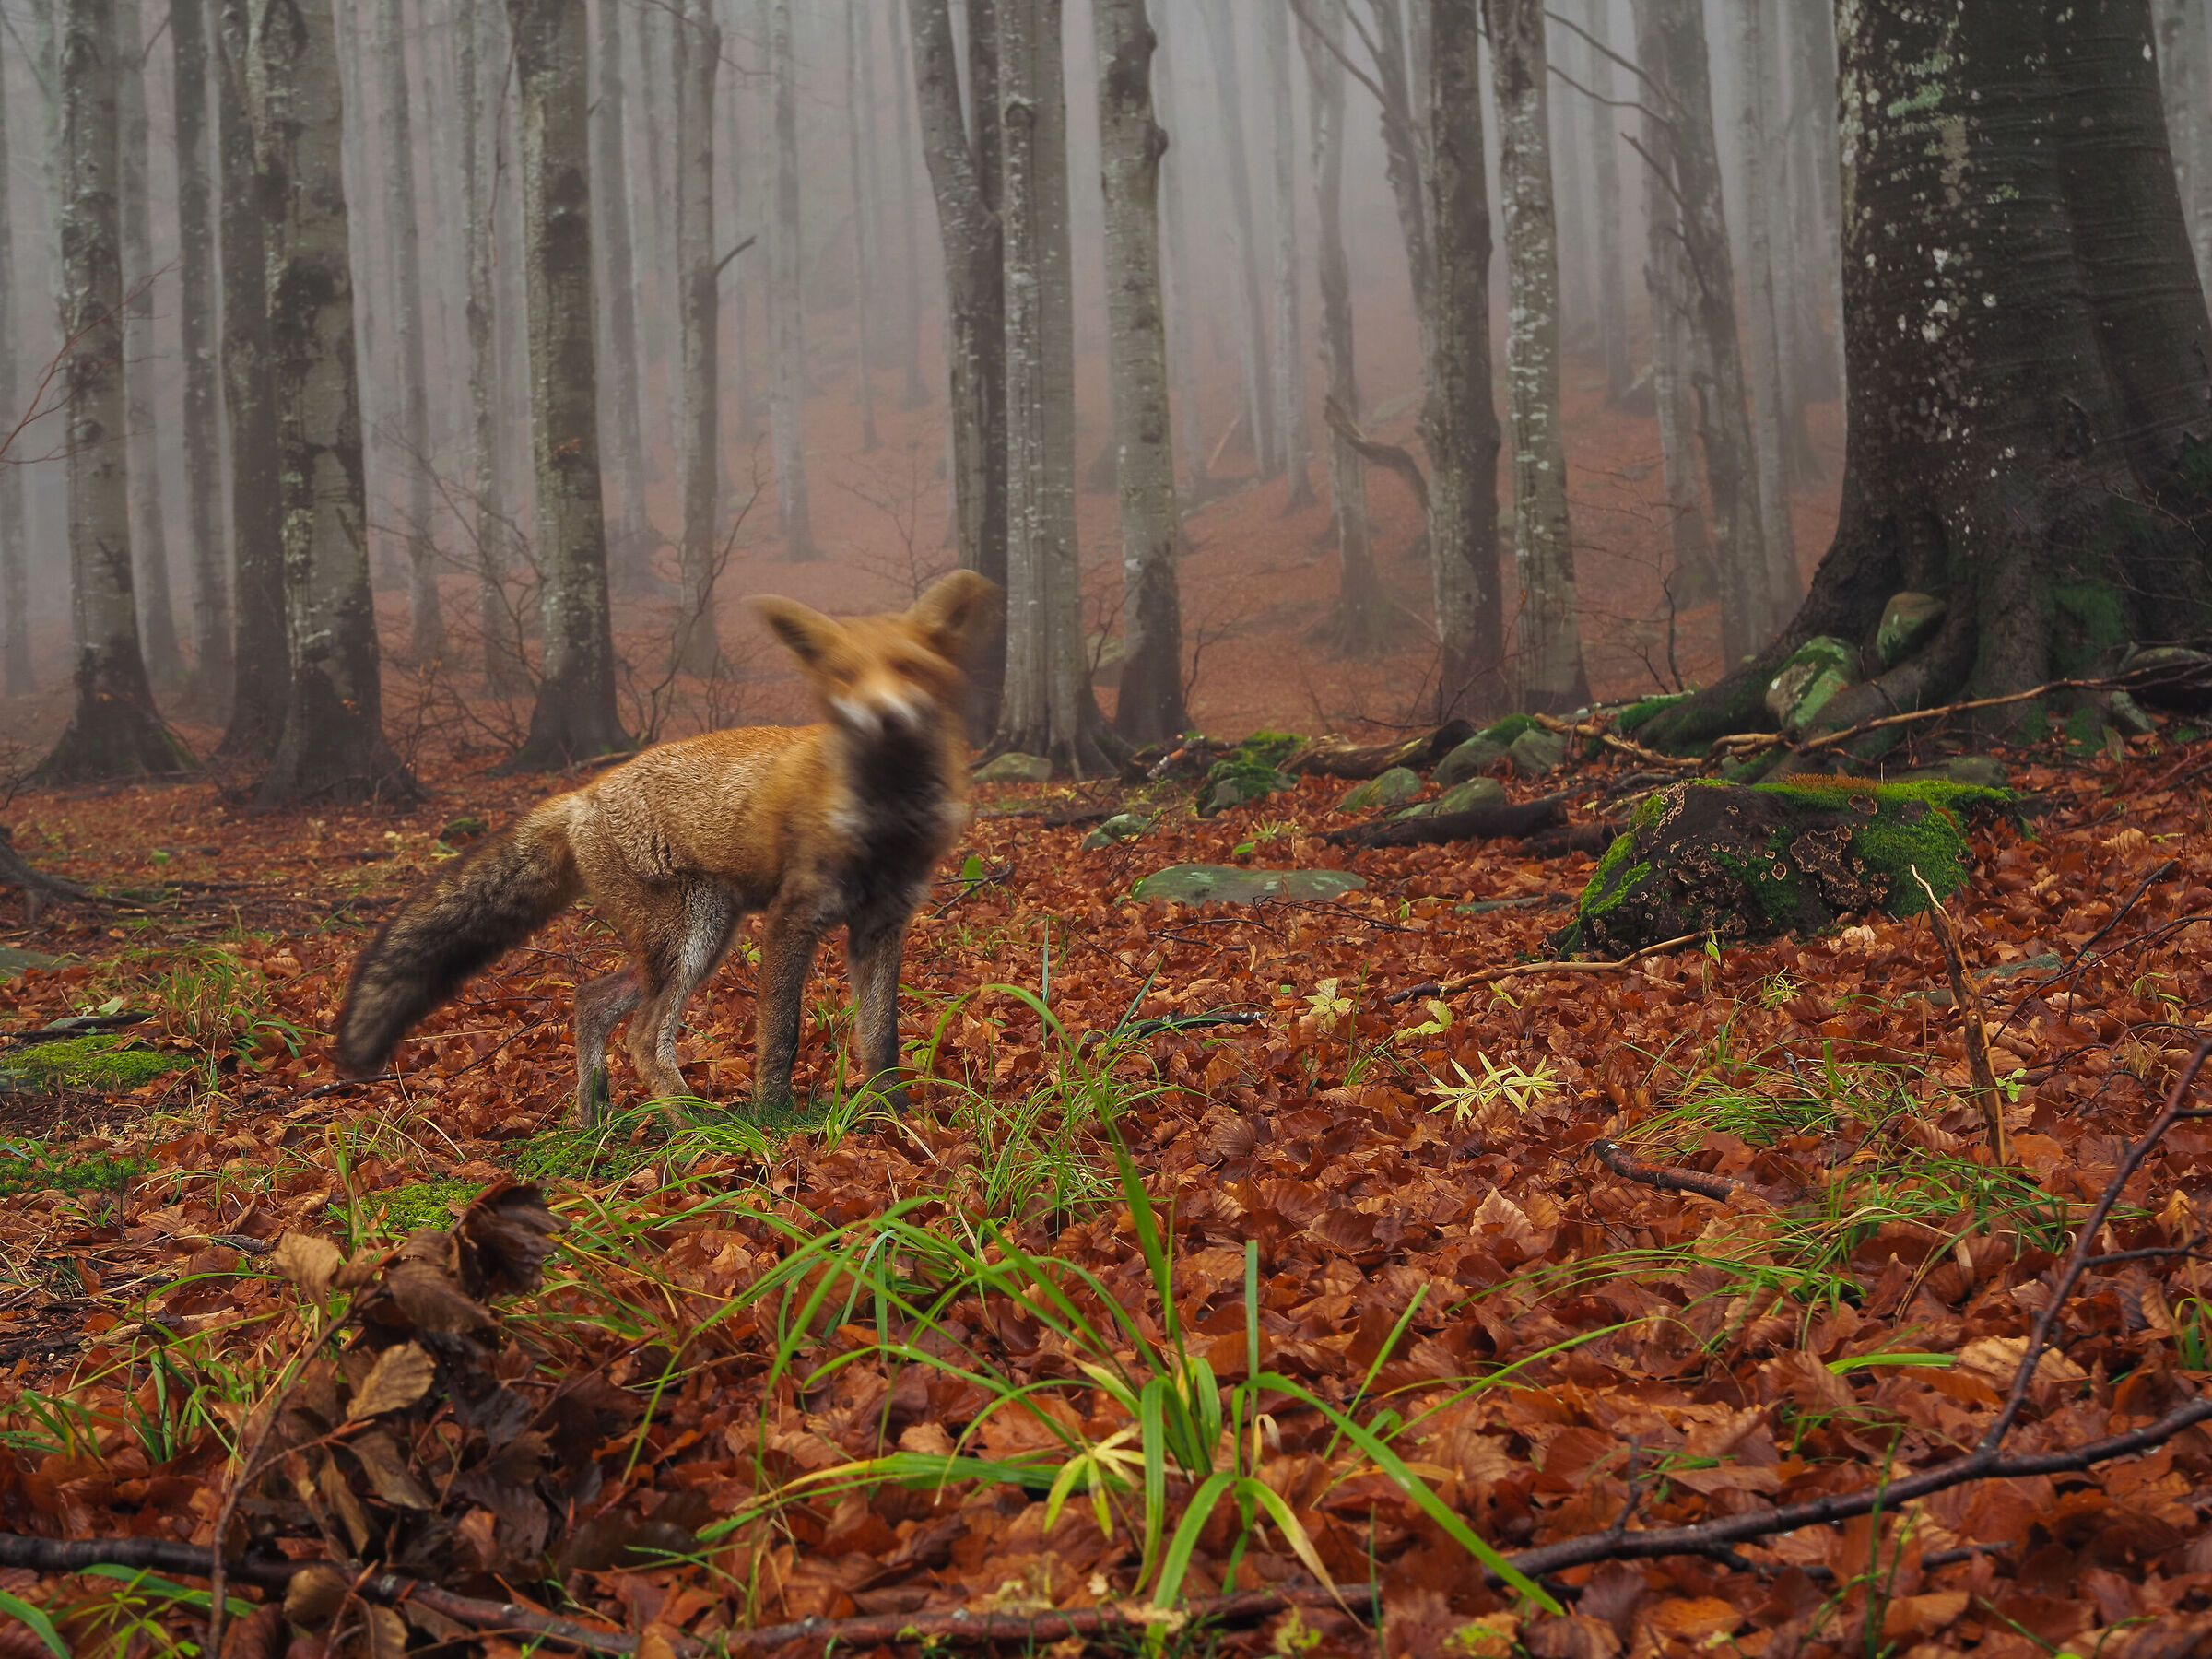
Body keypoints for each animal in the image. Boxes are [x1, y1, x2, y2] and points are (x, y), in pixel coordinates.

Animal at [334, 570, 999, 1125]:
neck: (884, 821)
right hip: (690, 937)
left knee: (592, 1001)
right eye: (844, 677)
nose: (883, 717)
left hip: (696, 940)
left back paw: (593, 1120)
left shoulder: (881, 926)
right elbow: (780, 1035)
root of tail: (582, 793)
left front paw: (894, 1113)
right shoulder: (793, 919)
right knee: (643, 1038)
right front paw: (774, 1120)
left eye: (907, 668)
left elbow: (880, 1038)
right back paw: (699, 1124)